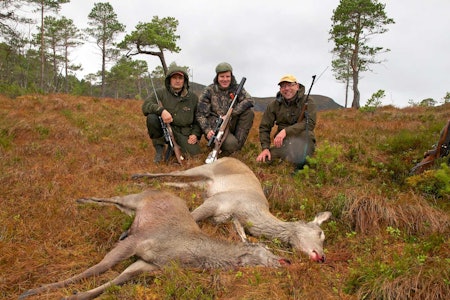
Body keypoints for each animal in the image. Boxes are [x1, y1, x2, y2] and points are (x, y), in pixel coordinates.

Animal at [19, 190, 288, 300]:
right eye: (266, 249)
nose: (286, 260)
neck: (184, 256)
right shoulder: (139, 242)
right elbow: (97, 268)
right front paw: (34, 290)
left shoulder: (147, 264)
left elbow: (117, 280)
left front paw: (75, 295)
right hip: (134, 198)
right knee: (112, 198)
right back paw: (81, 200)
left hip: (132, 210)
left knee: (119, 209)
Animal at [132, 157, 332, 262]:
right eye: (320, 233)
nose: (322, 257)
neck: (249, 212)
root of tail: (225, 157)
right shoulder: (216, 201)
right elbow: (190, 219)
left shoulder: (233, 220)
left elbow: (244, 239)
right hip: (205, 169)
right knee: (176, 173)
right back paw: (138, 176)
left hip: (202, 184)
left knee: (179, 183)